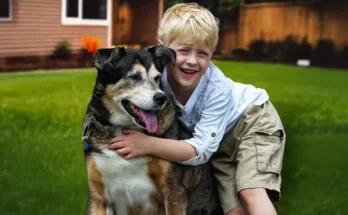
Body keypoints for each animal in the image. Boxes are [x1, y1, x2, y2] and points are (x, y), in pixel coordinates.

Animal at [82, 45, 222, 215]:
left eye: (157, 78)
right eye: (134, 77)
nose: (161, 98)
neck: (124, 128)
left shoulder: (174, 190)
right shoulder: (98, 196)